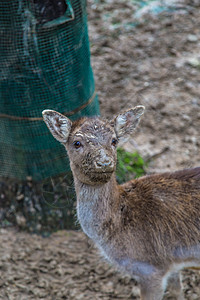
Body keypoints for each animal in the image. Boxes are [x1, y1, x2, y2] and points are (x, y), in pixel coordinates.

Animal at [42, 106, 200, 298]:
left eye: (114, 140)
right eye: (77, 143)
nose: (104, 162)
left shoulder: (150, 268)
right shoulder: (171, 265)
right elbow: (178, 292)